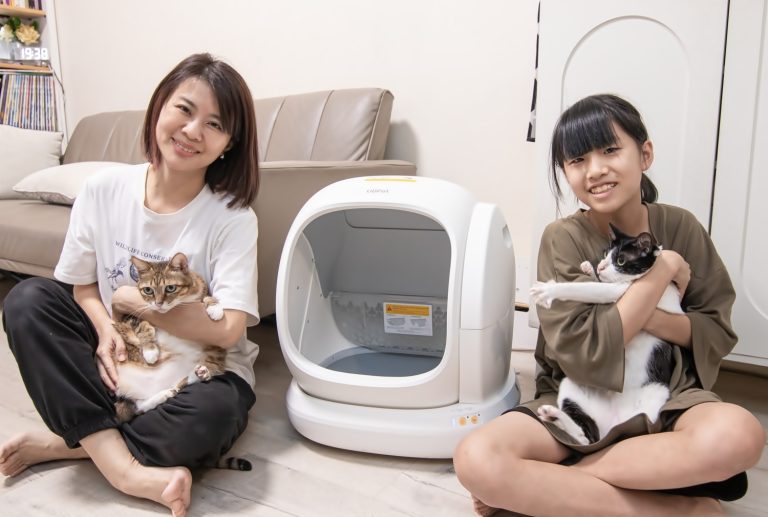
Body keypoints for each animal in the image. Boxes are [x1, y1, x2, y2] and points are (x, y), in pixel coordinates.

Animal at [112, 253, 250, 470]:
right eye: (148, 290)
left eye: (170, 288)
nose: (158, 304)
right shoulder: (134, 315)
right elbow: (144, 325)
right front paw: (150, 351)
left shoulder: (202, 291)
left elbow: (208, 297)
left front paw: (215, 309)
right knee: (137, 407)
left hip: (208, 355)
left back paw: (198, 374)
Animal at [528, 225, 681, 445]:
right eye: (605, 254)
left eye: (621, 261)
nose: (600, 266)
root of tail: (614, 427)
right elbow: (596, 283)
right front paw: (589, 269)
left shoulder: (620, 291)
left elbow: (584, 288)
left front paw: (548, 290)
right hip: (571, 384)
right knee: (586, 437)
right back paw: (553, 415)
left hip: (655, 395)